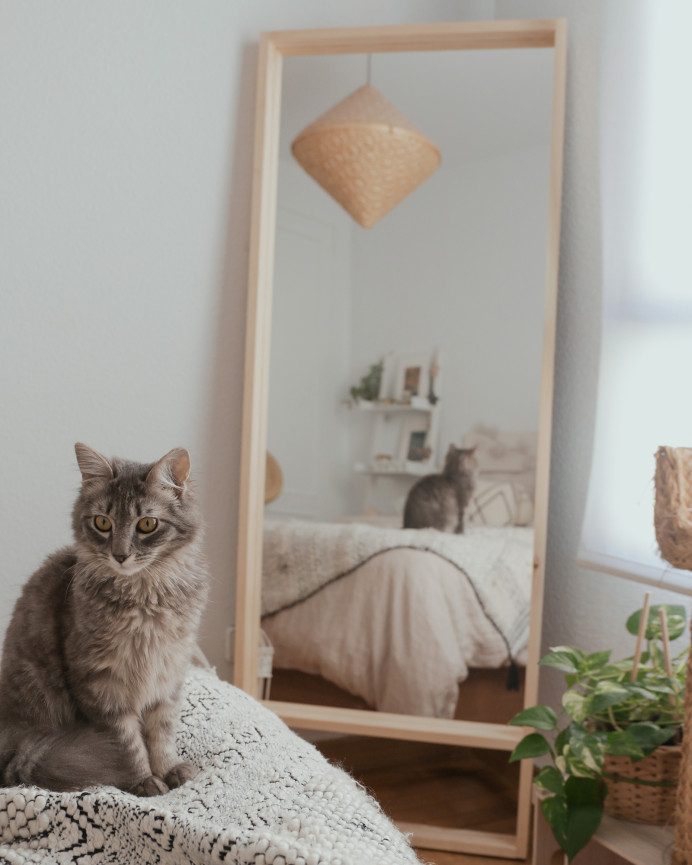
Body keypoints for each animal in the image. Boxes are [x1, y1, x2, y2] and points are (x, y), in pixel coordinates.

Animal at [0, 446, 208, 796]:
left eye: (147, 524)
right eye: (102, 522)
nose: (120, 555)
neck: (144, 598)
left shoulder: (167, 677)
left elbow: (161, 734)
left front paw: (169, 770)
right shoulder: (102, 686)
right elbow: (127, 743)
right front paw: (145, 781)